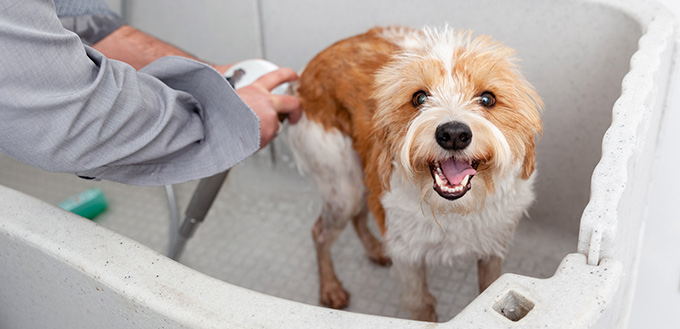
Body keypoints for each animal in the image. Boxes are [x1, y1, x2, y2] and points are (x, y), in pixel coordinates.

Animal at [286, 25, 540, 320]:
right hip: (343, 186)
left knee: (359, 215)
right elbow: (422, 305)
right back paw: (330, 288)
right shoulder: (409, 258)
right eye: (419, 97)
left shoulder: (493, 247)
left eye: (488, 98)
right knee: (321, 232)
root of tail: (305, 73)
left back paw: (375, 250)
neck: (452, 209)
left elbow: (488, 288)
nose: (454, 134)